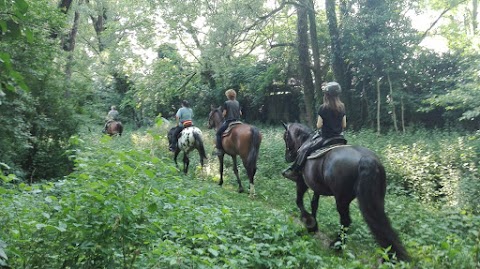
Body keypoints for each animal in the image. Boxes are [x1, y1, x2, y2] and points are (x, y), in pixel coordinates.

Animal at [282, 122, 408, 260]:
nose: (288, 157)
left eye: (285, 137)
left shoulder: (302, 182)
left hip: (341, 199)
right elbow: (314, 204)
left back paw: (337, 245)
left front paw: (309, 222)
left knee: (345, 221)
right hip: (376, 198)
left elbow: (299, 201)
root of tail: (367, 159)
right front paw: (314, 227)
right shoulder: (316, 187)